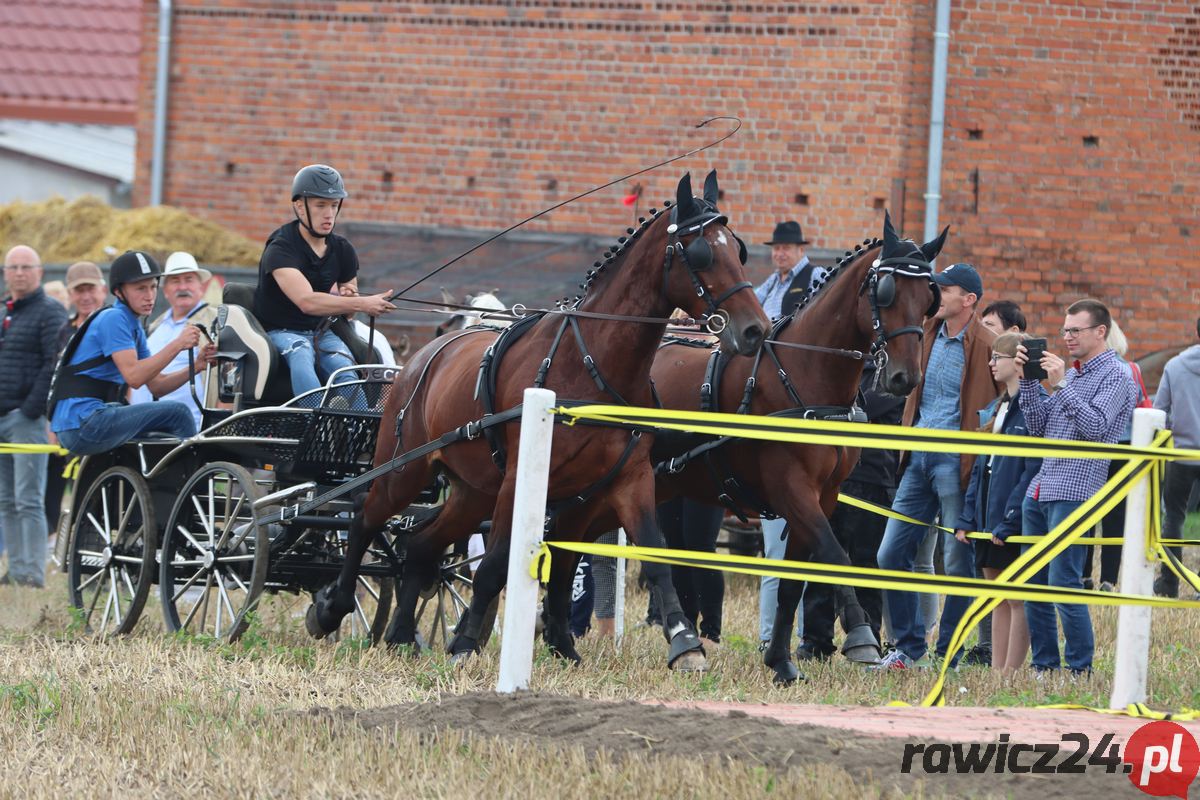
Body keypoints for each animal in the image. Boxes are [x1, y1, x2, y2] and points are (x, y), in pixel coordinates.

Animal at [307, 173, 768, 671]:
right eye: (700, 252)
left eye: (737, 249)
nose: (755, 330)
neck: (591, 363)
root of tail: (421, 359)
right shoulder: (520, 480)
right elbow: (495, 563)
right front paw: (466, 643)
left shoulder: (618, 482)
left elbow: (630, 557)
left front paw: (681, 643)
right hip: (406, 470)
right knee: (364, 518)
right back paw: (333, 609)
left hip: (472, 491)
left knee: (422, 545)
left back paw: (401, 635)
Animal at [648, 211, 945, 681]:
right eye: (886, 292)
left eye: (929, 298)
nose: (904, 377)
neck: (803, 374)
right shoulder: (793, 490)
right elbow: (835, 555)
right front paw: (861, 635)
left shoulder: (822, 495)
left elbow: (792, 583)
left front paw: (781, 662)